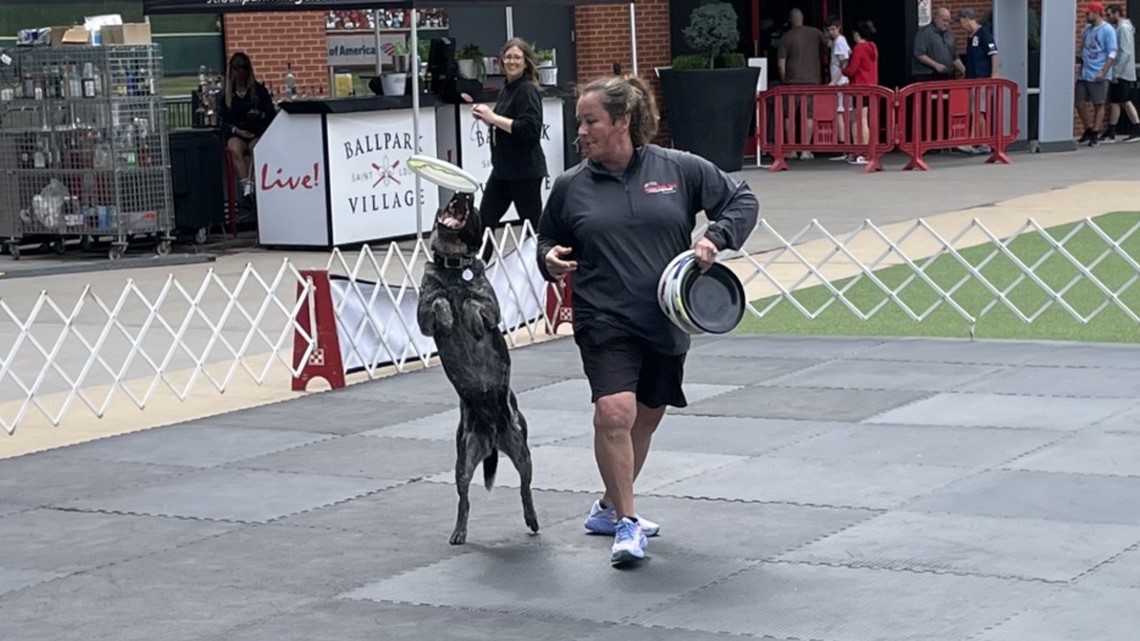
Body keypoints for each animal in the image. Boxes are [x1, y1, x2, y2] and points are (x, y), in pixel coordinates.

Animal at [417, 190, 540, 542]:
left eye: (472, 208)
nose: (464, 194)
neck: (454, 267)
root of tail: (493, 438)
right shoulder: (423, 318)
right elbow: (439, 302)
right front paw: (448, 318)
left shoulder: (492, 310)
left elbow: (474, 303)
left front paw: (468, 319)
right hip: (463, 460)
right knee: (464, 499)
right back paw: (459, 532)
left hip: (522, 451)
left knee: (525, 488)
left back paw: (532, 520)